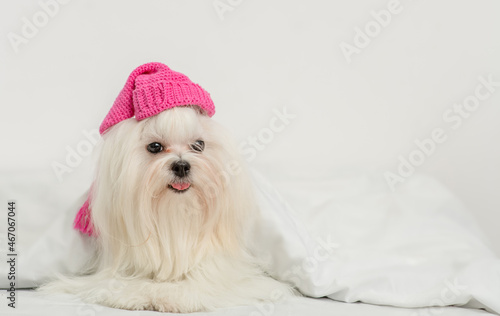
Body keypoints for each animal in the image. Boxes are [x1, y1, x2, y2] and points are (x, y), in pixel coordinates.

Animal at [42, 61, 296, 312]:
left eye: (199, 145)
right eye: (155, 147)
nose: (182, 166)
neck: (176, 217)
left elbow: (204, 281)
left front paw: (176, 295)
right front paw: (134, 293)